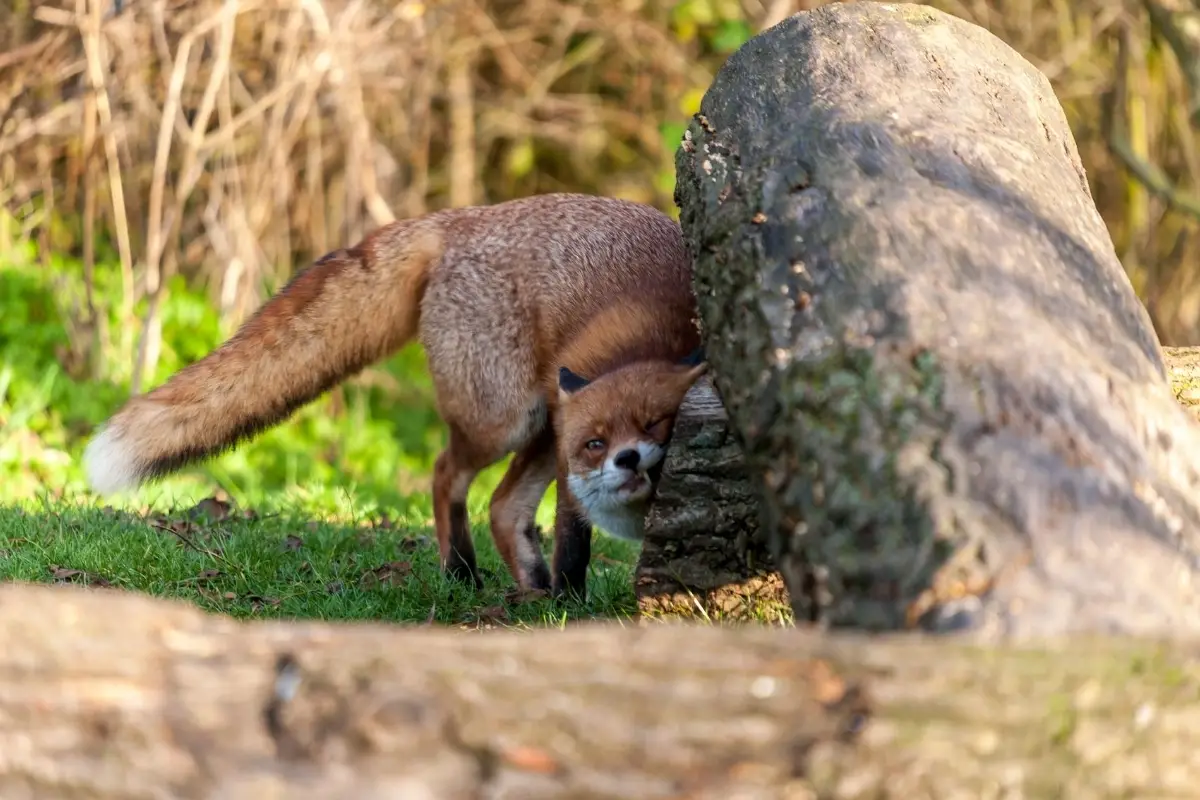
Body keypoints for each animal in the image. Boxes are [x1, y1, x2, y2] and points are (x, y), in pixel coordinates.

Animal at [87, 190, 700, 597]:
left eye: (657, 424)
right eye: (599, 442)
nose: (627, 458)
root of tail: (462, 217)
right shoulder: (575, 455)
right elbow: (574, 543)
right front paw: (573, 606)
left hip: (538, 426)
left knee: (502, 507)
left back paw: (524, 583)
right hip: (504, 420)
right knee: (446, 473)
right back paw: (464, 574)